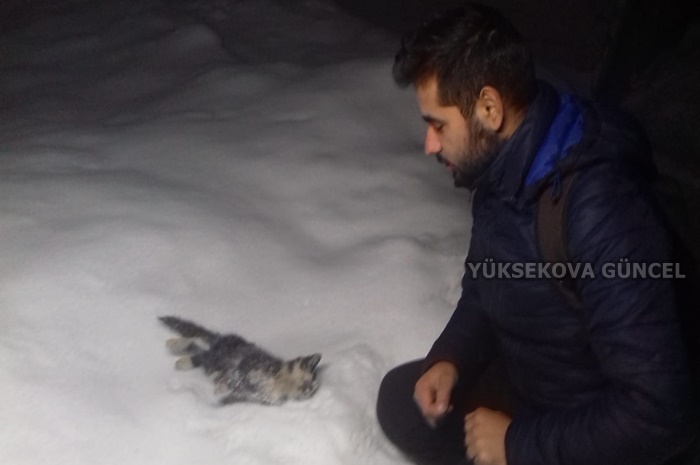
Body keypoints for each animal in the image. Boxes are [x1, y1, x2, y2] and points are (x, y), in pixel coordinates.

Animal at [159, 316, 321, 405]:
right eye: (308, 381)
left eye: (313, 389)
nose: (309, 391)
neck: (280, 384)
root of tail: (222, 339)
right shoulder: (251, 362)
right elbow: (246, 372)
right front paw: (255, 376)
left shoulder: (251, 394)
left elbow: (231, 388)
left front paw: (220, 387)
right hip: (221, 350)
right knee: (198, 340)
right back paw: (176, 348)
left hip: (213, 358)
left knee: (200, 351)